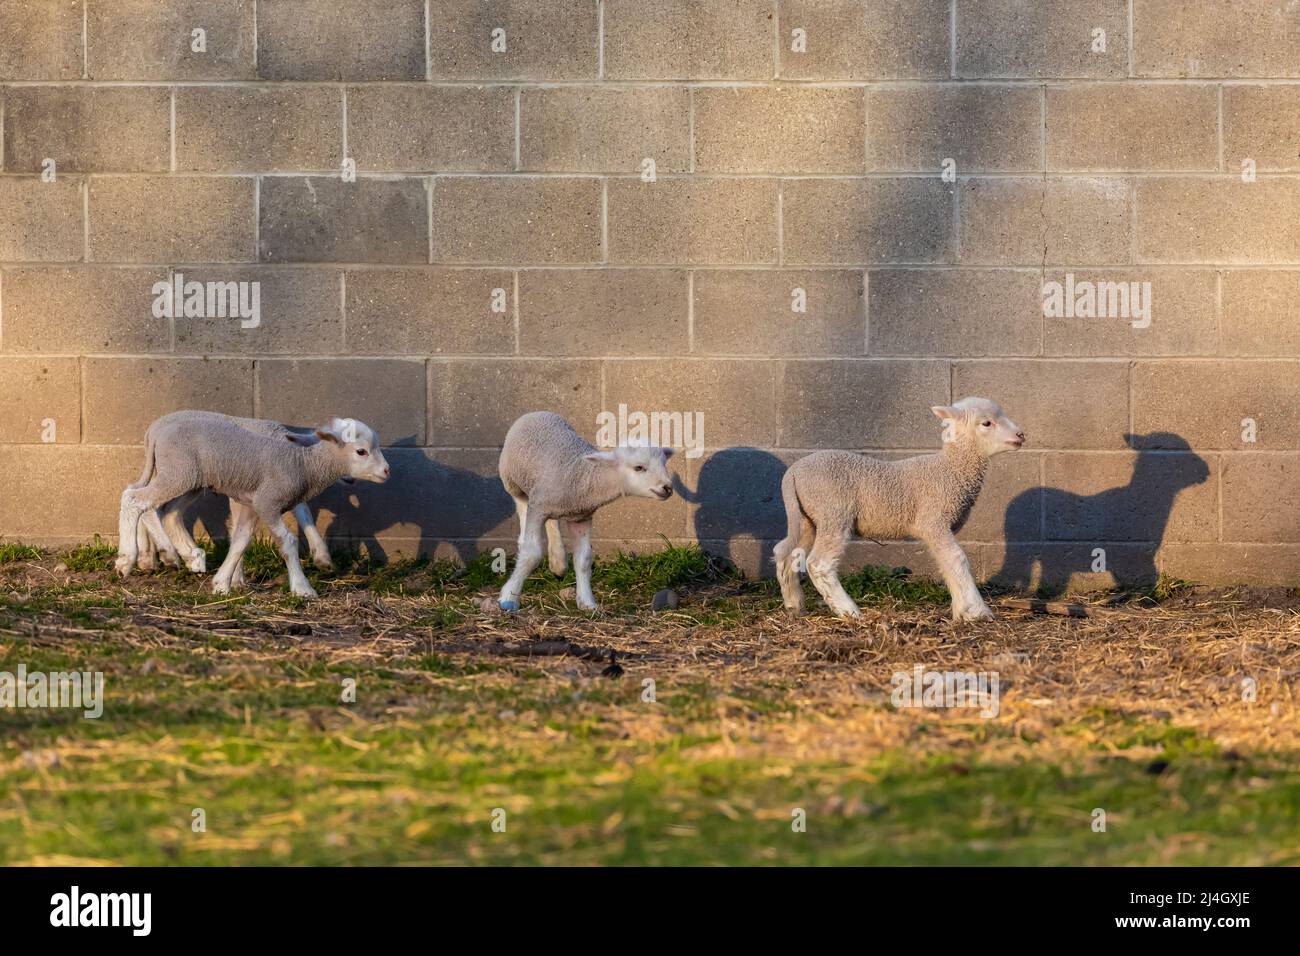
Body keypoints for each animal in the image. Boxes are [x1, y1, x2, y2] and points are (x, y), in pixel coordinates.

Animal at [116, 416, 387, 595]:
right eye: (361, 451)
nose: (387, 471)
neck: (303, 462)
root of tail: (154, 432)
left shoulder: (251, 502)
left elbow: (241, 539)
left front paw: (224, 583)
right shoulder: (267, 502)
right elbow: (288, 540)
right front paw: (302, 587)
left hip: (191, 479)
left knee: (165, 509)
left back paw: (191, 556)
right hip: (179, 472)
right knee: (136, 500)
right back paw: (129, 560)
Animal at [496, 411, 676, 613]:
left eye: (664, 464)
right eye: (639, 467)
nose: (667, 488)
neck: (583, 474)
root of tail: (537, 413)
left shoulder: (580, 516)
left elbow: (583, 559)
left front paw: (587, 602)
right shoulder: (538, 507)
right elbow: (531, 553)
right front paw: (509, 597)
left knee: (552, 521)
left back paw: (558, 561)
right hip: (513, 482)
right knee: (522, 507)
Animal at [769, 395, 1024, 621]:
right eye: (986, 423)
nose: (1021, 435)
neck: (950, 470)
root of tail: (792, 473)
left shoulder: (936, 527)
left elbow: (946, 564)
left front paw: (961, 610)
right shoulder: (933, 520)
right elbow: (957, 558)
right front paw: (977, 611)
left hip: (806, 518)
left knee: (785, 553)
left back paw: (795, 606)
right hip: (833, 512)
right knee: (818, 564)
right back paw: (849, 611)